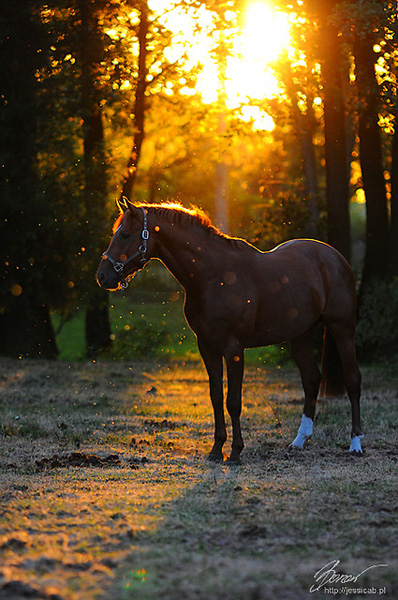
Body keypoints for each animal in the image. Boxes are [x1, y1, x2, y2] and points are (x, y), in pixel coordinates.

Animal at [96, 199, 364, 462]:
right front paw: (216, 449)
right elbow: (216, 397)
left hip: (342, 329)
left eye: (125, 235)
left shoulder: (234, 348)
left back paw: (356, 444)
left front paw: (236, 451)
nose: (102, 276)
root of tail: (335, 257)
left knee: (352, 380)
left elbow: (233, 401)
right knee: (311, 379)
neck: (214, 276)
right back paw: (299, 441)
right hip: (301, 336)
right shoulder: (207, 346)